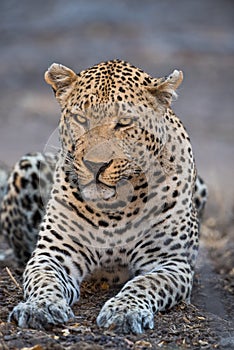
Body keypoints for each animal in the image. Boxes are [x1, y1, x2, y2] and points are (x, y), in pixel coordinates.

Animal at [0, 59, 207, 334]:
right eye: (80, 119)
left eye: (124, 122)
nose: (94, 165)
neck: (117, 208)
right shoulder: (53, 253)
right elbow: (44, 280)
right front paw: (39, 306)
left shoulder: (170, 262)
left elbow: (144, 284)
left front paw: (125, 311)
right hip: (26, 165)